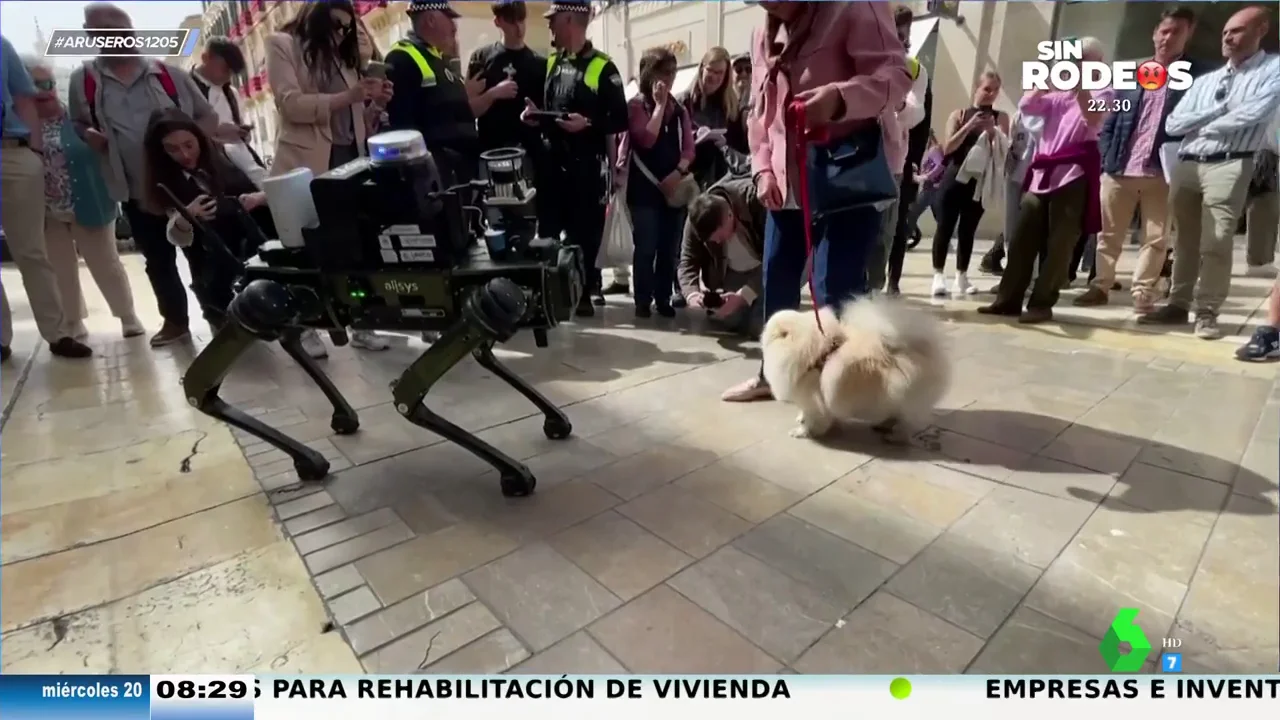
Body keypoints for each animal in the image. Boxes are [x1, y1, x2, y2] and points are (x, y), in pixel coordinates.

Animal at [757, 295, 952, 438]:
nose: (763, 333)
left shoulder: (813, 400)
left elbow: (813, 419)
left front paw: (803, 432)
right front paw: (801, 420)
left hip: (905, 397)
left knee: (906, 419)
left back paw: (894, 434)